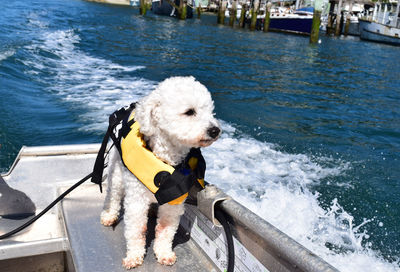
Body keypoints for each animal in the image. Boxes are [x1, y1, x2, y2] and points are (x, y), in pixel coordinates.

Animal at [99, 76, 219, 268]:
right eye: (190, 112)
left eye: (211, 111)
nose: (215, 130)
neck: (166, 158)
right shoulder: (136, 200)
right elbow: (136, 230)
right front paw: (134, 256)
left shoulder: (173, 203)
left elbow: (166, 230)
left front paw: (163, 252)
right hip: (116, 173)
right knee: (113, 195)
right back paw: (109, 215)